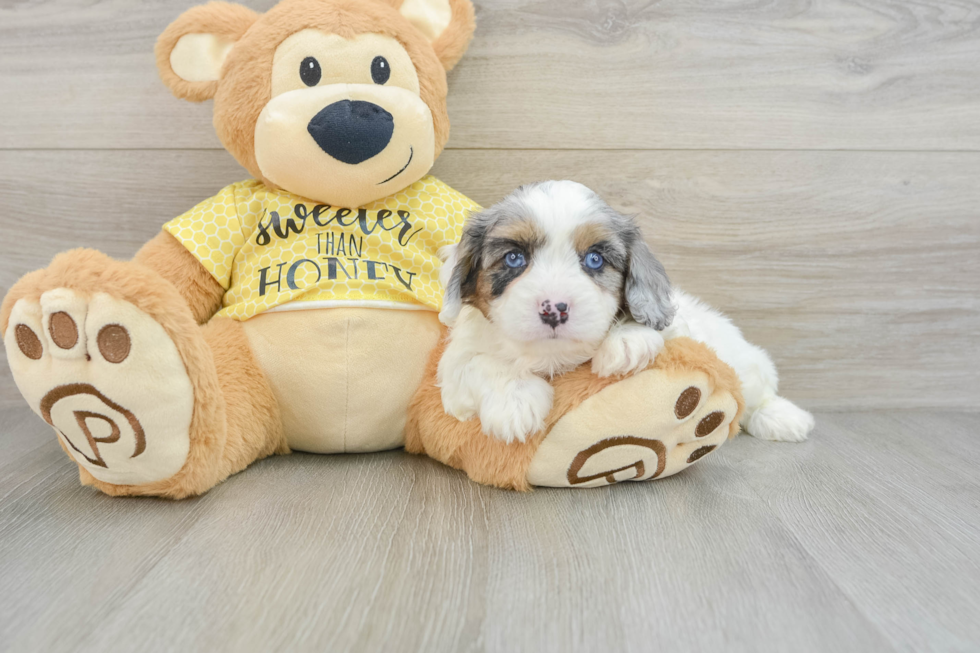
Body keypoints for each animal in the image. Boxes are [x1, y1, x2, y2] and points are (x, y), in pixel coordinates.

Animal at [440, 181, 816, 446]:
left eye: (595, 259)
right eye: (514, 258)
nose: (554, 309)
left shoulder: (680, 327)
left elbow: (656, 327)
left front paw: (626, 341)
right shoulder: (456, 366)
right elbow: (478, 363)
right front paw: (514, 403)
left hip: (745, 363)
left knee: (756, 394)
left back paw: (784, 418)